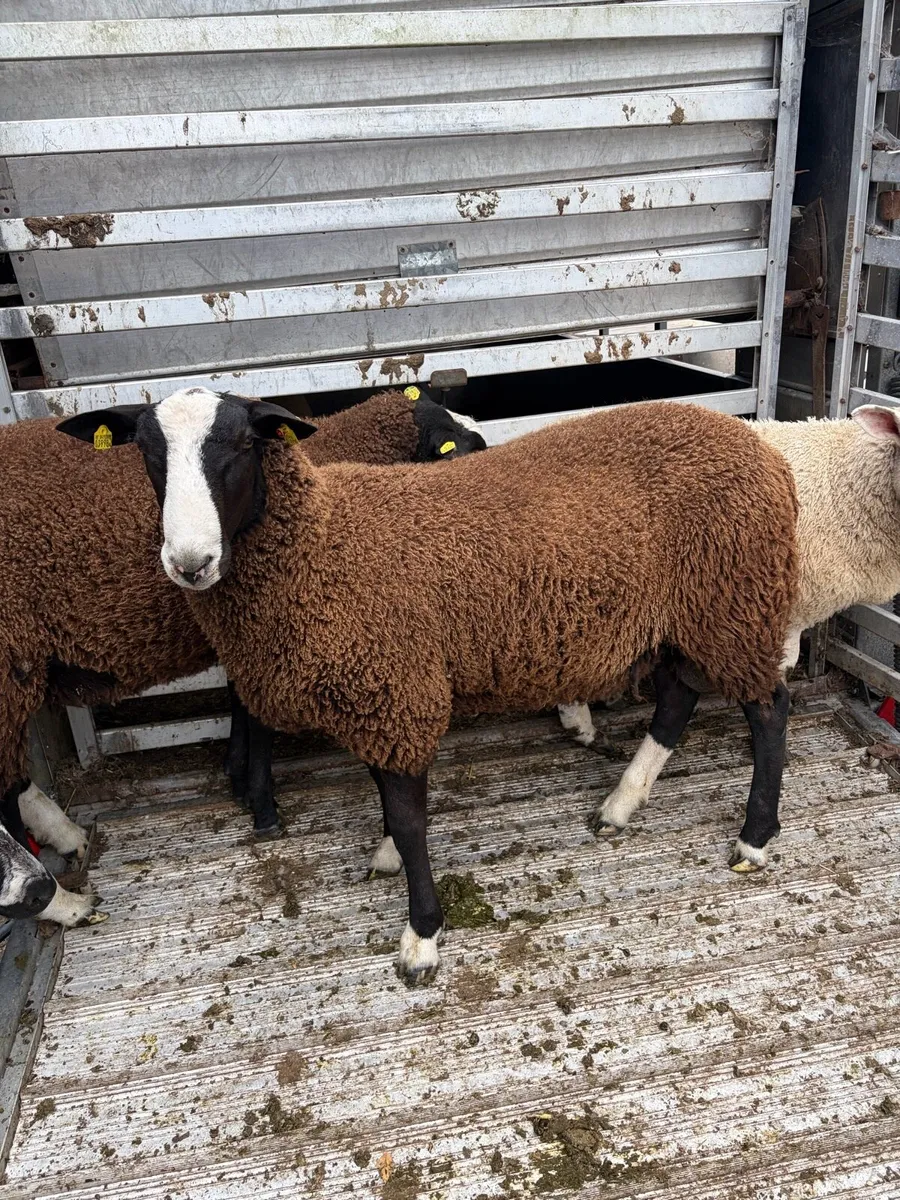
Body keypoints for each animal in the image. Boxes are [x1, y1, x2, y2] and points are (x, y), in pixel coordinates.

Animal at [0, 389, 483, 923]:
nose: (190, 564)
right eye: (147, 450)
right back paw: (60, 900)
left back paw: (68, 840)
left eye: (243, 444)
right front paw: (261, 803)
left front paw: (239, 777)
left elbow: (242, 701)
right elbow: (255, 713)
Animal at [60, 388, 799, 982]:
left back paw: (754, 839)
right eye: (146, 453)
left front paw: (421, 937)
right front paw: (389, 854)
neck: (322, 542)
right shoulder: (376, 690)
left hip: (734, 599)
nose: (190, 563)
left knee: (769, 711)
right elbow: (385, 796)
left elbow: (412, 817)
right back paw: (621, 804)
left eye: (244, 444)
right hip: (696, 611)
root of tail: (755, 445)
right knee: (679, 698)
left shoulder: (398, 688)